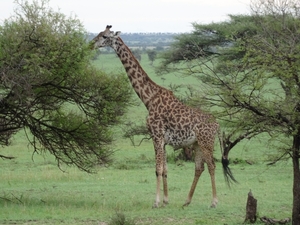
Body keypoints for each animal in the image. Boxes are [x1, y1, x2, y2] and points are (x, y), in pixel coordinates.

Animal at [92, 25, 226, 208]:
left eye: (105, 36)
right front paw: (166, 200)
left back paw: (214, 202)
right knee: (200, 167)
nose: (92, 43)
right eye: (99, 34)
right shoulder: (162, 140)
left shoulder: (156, 135)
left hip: (206, 142)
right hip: (197, 144)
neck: (148, 99)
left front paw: (156, 202)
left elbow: (158, 169)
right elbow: (165, 169)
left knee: (212, 165)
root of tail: (217, 124)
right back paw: (187, 201)